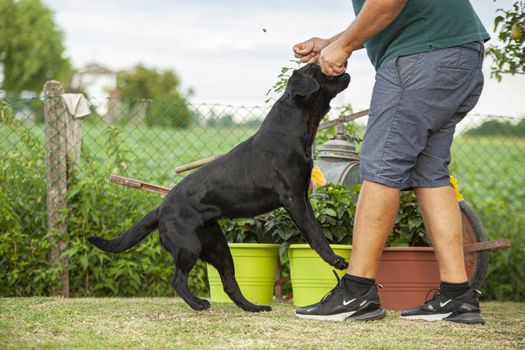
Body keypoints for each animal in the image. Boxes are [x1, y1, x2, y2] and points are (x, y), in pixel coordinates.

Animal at [89, 64, 350, 314]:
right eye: (321, 70)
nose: (344, 70)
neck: (293, 127)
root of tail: (161, 208)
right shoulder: (293, 197)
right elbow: (315, 233)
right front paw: (336, 260)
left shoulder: (302, 195)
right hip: (189, 246)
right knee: (177, 279)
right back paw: (198, 304)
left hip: (219, 247)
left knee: (229, 284)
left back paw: (254, 307)